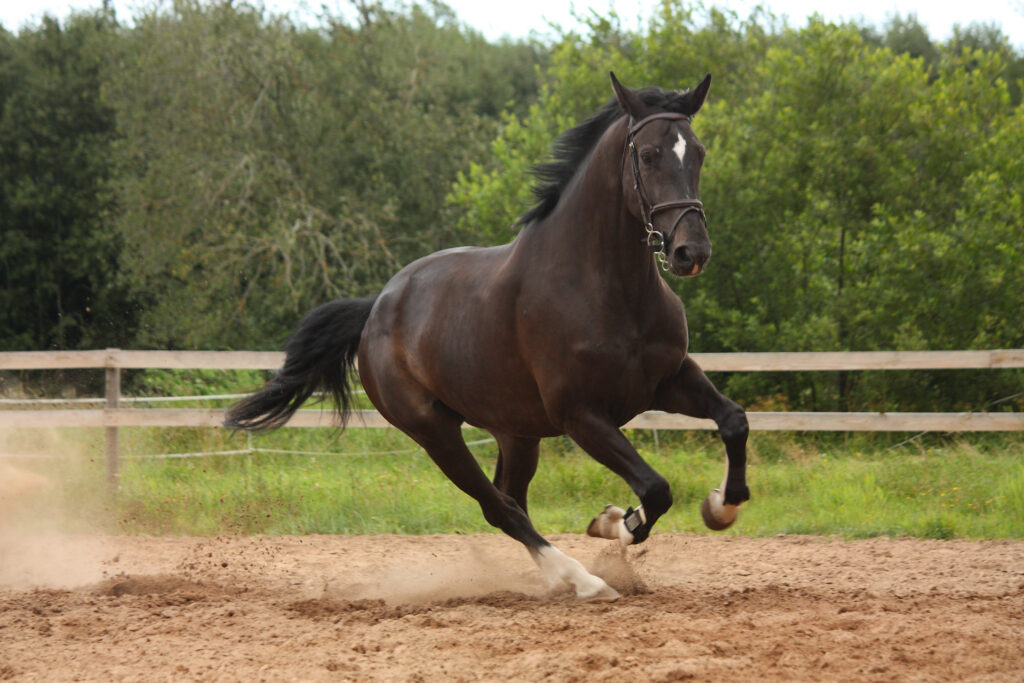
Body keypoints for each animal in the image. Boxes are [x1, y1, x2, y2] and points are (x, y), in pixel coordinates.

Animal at [225, 72, 750, 599]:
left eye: (698, 151)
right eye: (648, 155)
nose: (691, 252)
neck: (606, 288)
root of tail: (376, 308)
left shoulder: (667, 381)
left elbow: (733, 421)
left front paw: (718, 507)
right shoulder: (581, 415)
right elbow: (655, 489)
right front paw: (615, 522)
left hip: (516, 432)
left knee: (510, 498)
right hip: (435, 433)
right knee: (498, 506)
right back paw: (582, 580)